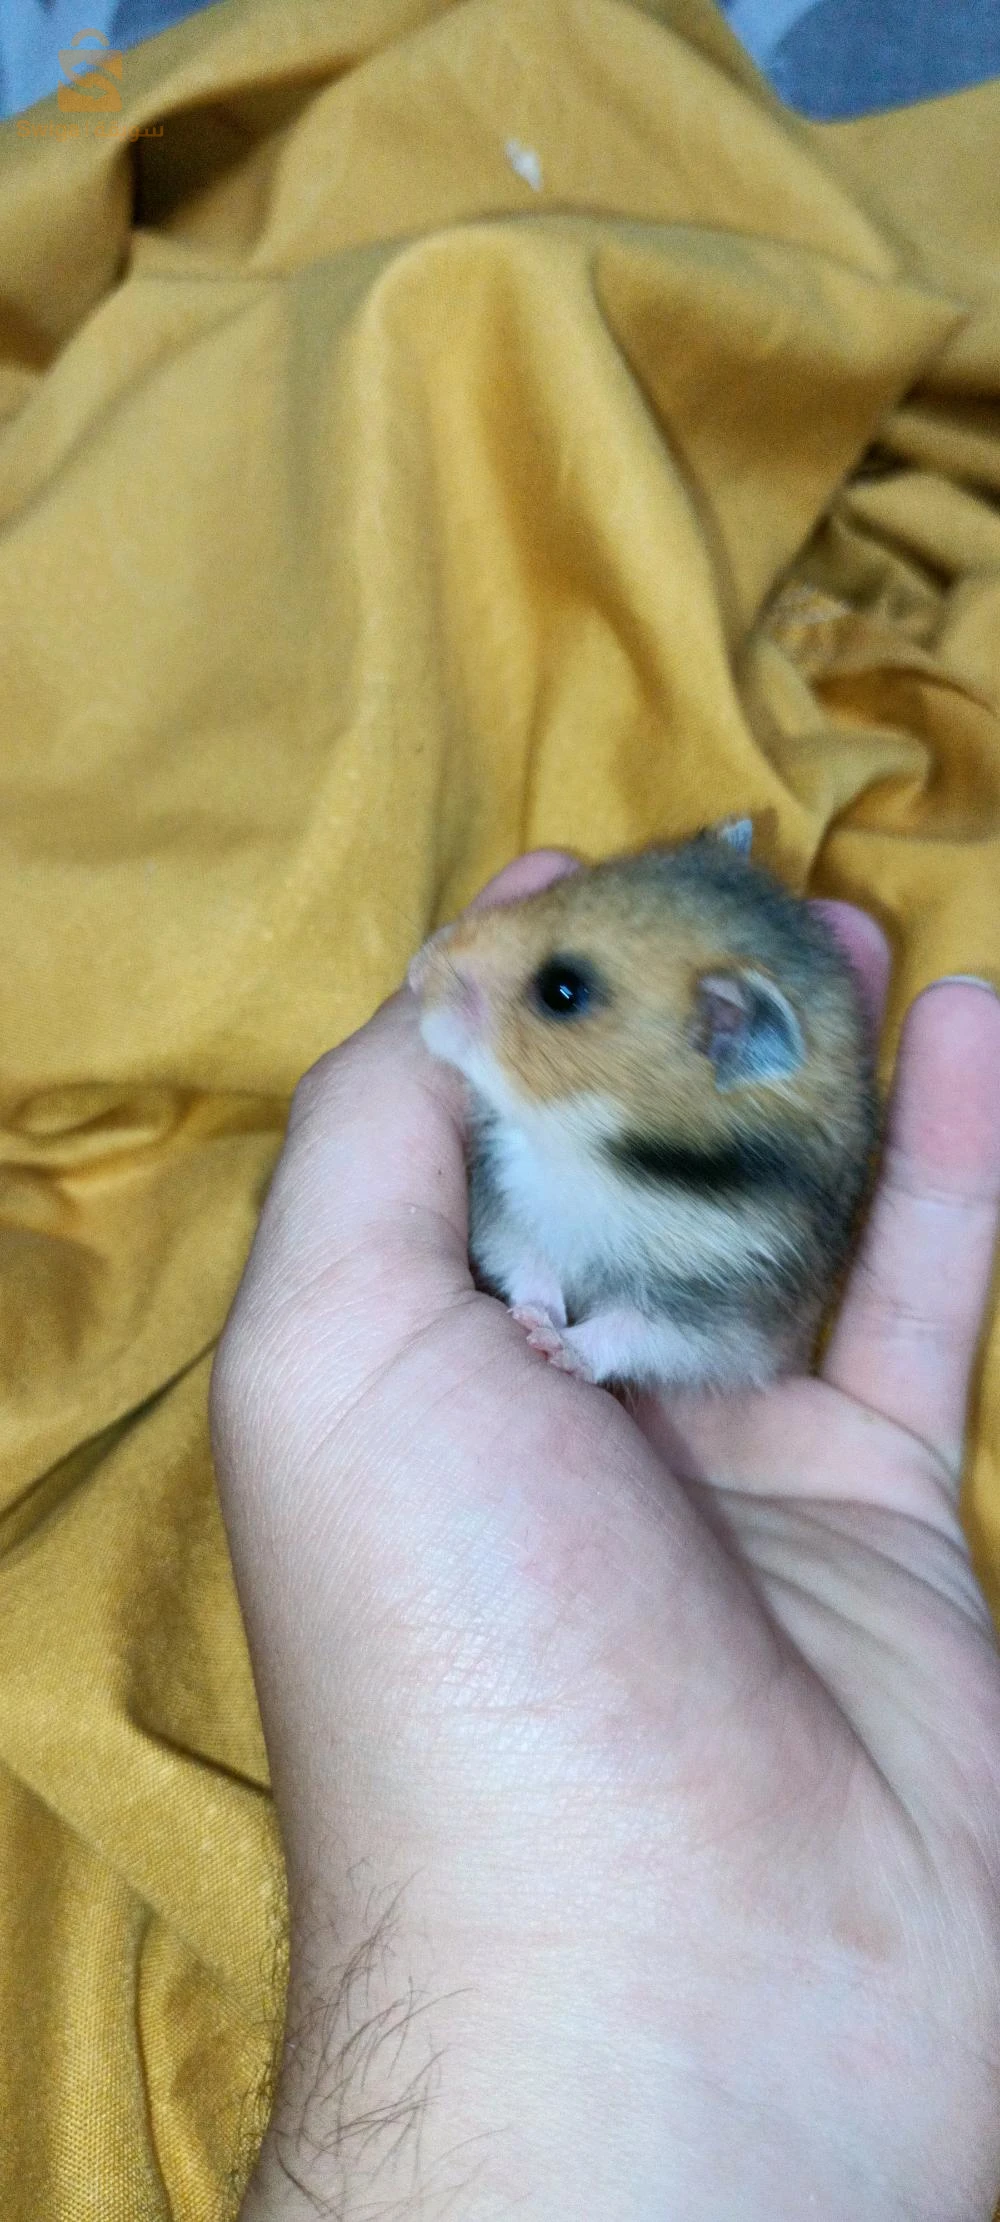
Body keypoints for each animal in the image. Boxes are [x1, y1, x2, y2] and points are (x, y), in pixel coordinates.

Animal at [408, 822, 880, 1394]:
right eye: (559, 889)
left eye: (562, 992)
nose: (416, 970)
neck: (596, 1150)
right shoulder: (506, 1203)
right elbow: (529, 1261)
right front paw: (536, 1317)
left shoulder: (715, 1316)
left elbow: (629, 1330)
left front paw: (553, 1344)